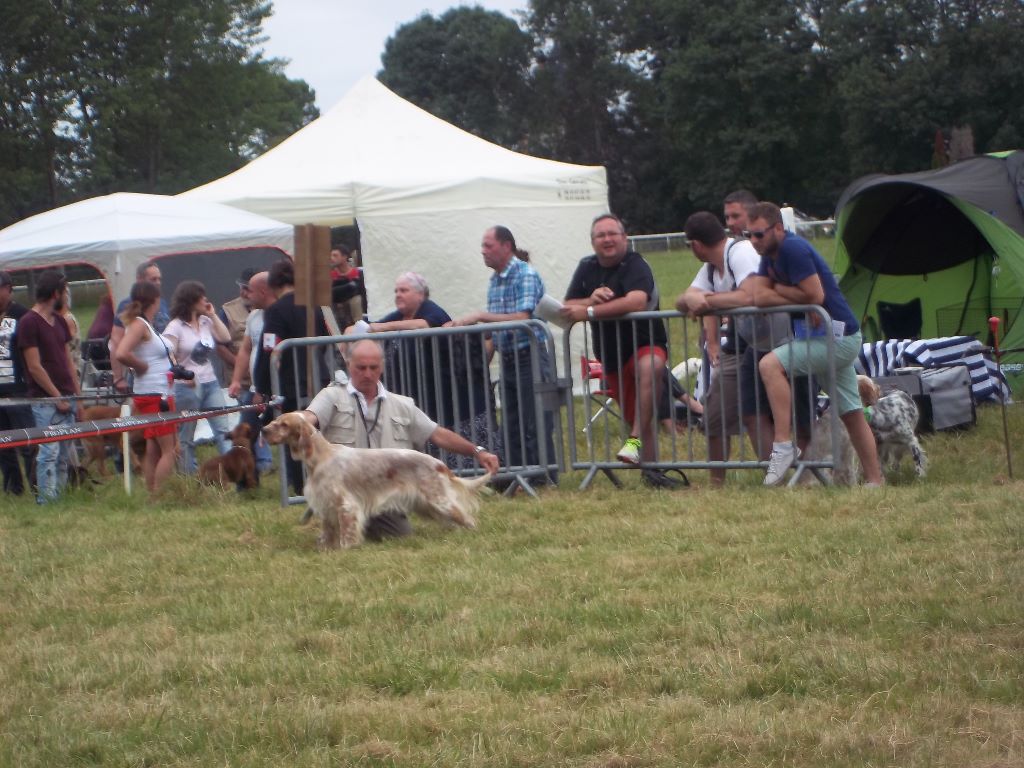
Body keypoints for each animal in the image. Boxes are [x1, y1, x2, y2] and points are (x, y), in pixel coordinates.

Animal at [260, 411, 491, 548]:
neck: (320, 457)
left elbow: (346, 534)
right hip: (427, 505)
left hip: (438, 500)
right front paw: (325, 549)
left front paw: (346, 549)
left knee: (466, 518)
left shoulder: (346, 505)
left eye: (283, 424)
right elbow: (328, 532)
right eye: (276, 421)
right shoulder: (325, 505)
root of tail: (438, 463)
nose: (263, 430)